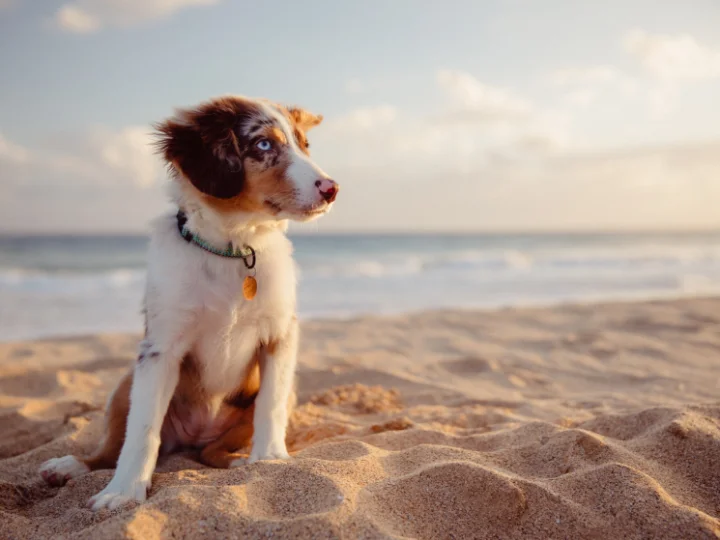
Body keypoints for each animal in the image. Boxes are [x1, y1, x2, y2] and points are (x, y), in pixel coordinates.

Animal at [39, 94, 340, 510]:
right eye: (264, 144)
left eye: (304, 144)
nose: (332, 188)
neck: (233, 249)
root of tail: (196, 435)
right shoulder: (161, 347)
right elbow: (142, 430)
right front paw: (123, 491)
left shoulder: (280, 334)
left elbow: (271, 403)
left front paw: (270, 458)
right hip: (124, 385)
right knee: (110, 449)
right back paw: (70, 466)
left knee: (212, 452)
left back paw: (238, 461)